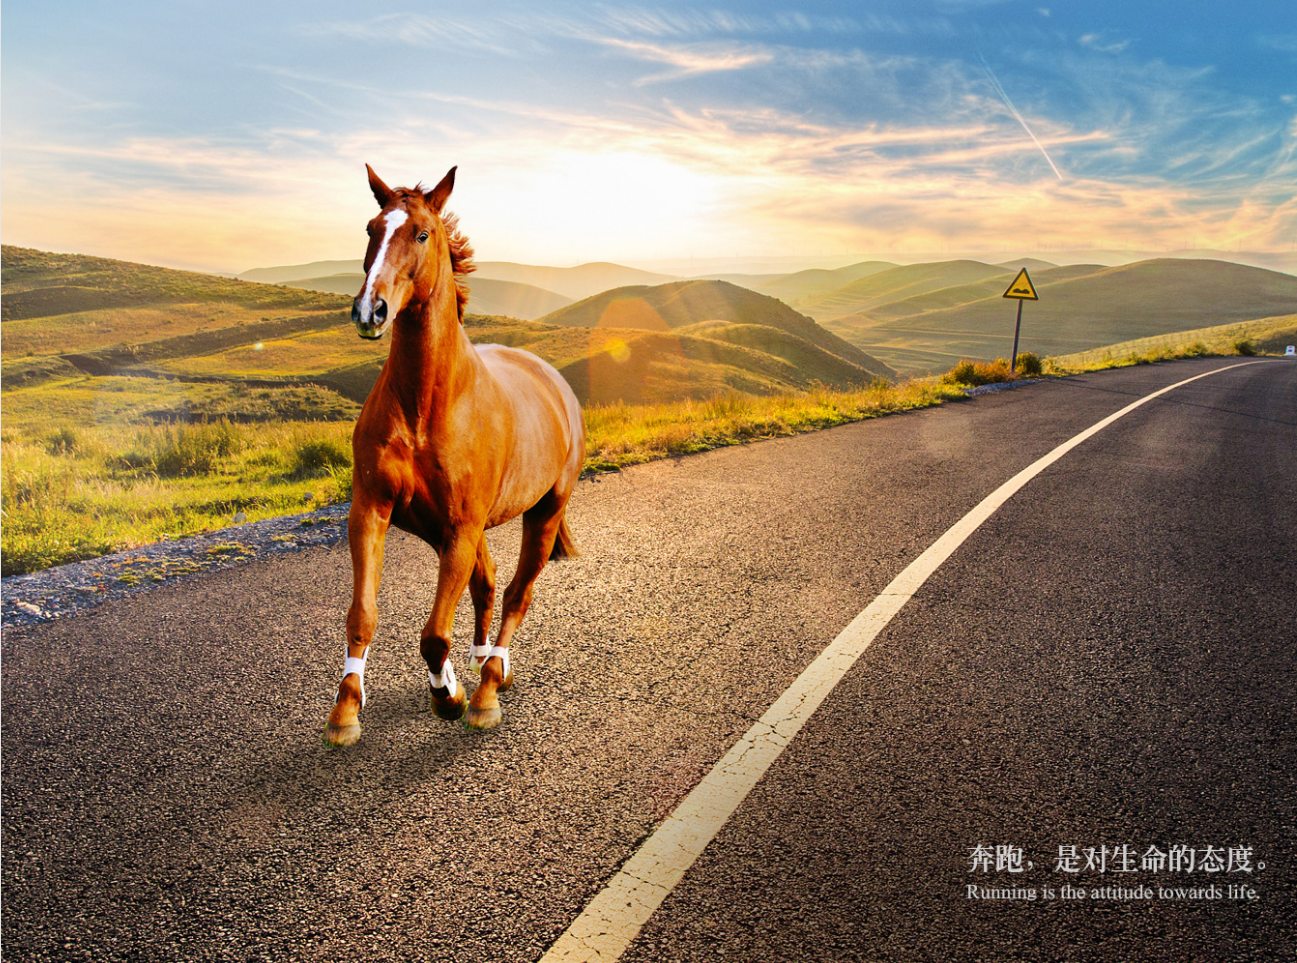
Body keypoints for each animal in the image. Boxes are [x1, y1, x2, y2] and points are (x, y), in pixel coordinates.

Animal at [323, 164, 584, 745]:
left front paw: (451, 696)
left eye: (421, 233)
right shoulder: (372, 510)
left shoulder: (459, 530)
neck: (426, 404)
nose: (370, 310)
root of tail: (556, 383)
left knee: (515, 594)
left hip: (544, 513)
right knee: (486, 588)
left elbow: (434, 635)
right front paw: (346, 708)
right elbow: (363, 613)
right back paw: (482, 662)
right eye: (371, 228)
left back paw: (488, 686)